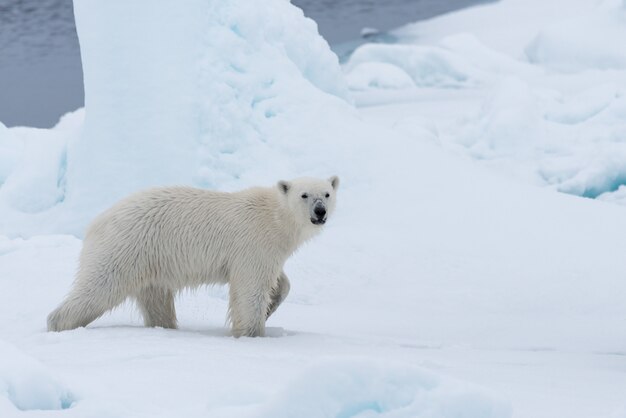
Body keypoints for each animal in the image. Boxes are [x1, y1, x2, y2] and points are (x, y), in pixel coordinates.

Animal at [46, 176, 338, 336]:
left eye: (327, 193)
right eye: (304, 195)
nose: (320, 211)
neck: (274, 217)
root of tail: (98, 221)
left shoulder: (266, 249)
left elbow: (280, 282)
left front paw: (269, 309)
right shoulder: (253, 242)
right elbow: (251, 288)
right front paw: (252, 332)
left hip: (150, 259)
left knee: (156, 299)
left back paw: (164, 327)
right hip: (126, 246)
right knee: (99, 287)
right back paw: (59, 323)